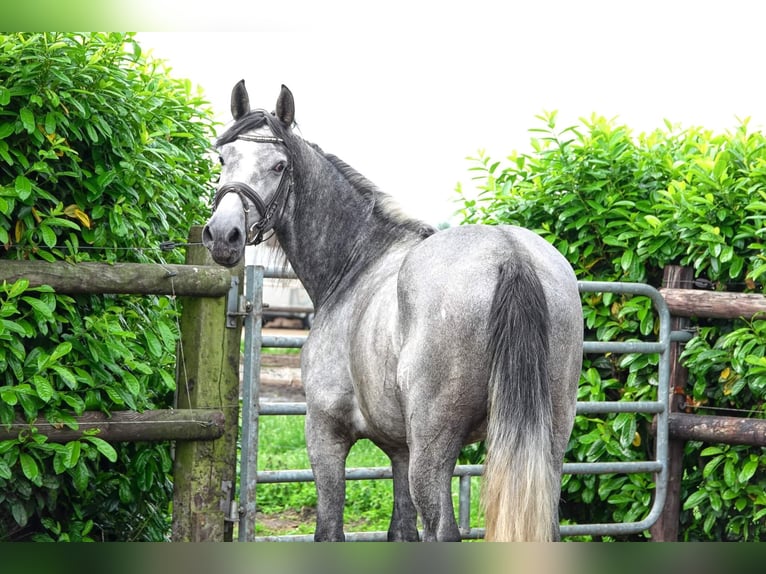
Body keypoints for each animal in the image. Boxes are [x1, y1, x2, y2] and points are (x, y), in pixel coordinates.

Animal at [202, 81, 583, 542]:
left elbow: (329, 529)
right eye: (223, 158)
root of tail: (509, 254)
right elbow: (402, 531)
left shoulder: (325, 434)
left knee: (443, 531)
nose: (224, 235)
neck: (358, 262)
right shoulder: (400, 450)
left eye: (279, 166)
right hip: (547, 441)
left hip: (433, 450)